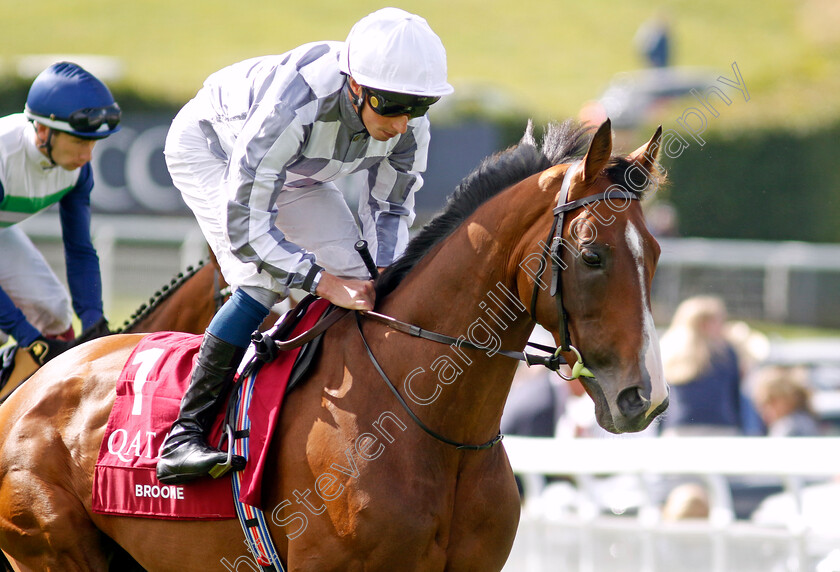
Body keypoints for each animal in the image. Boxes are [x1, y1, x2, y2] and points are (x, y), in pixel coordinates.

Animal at [0, 118, 668, 568]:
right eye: (592, 255)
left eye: (657, 254)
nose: (645, 398)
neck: (431, 425)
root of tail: (27, 391)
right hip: (53, 547)